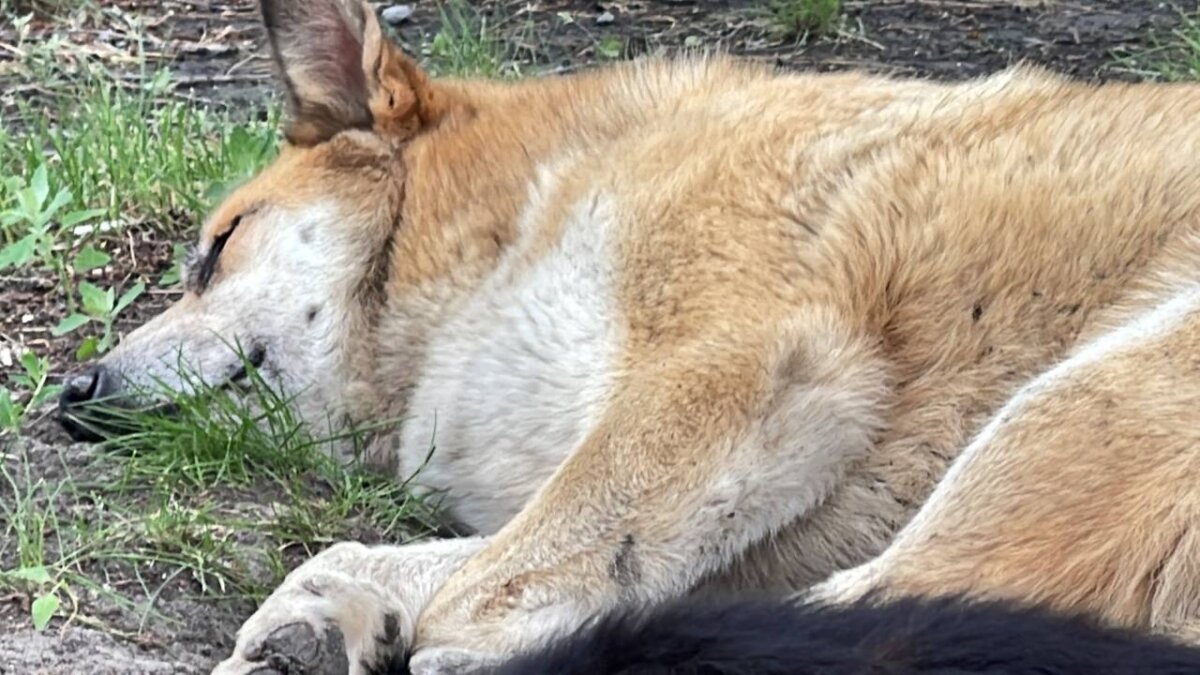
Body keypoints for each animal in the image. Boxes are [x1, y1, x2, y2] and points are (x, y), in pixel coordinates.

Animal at [58, 1, 1200, 667]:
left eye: (217, 248)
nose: (70, 394)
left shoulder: (738, 370)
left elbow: (478, 590)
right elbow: (434, 561)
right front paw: (331, 607)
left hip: (1077, 402)